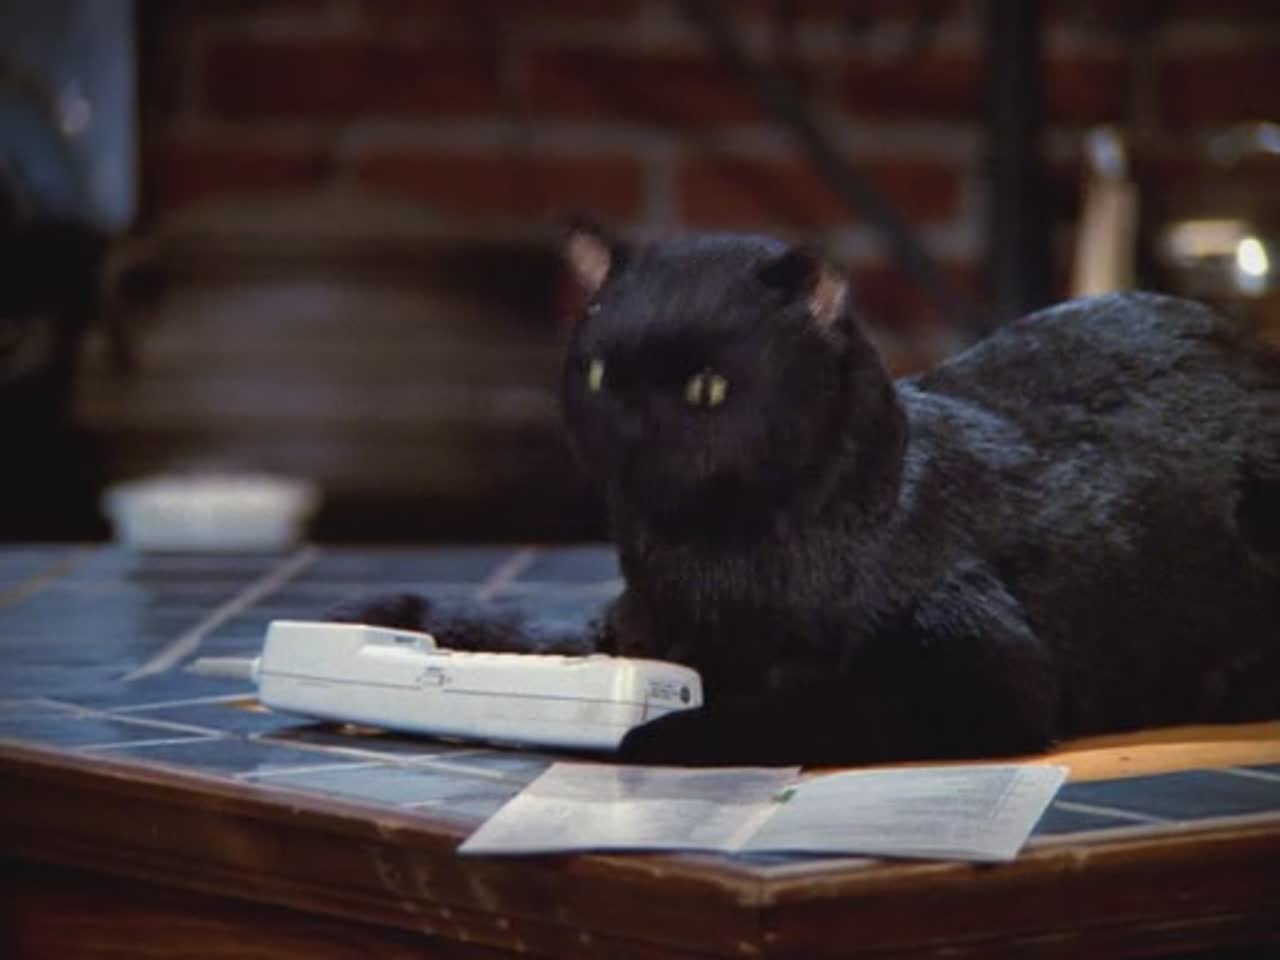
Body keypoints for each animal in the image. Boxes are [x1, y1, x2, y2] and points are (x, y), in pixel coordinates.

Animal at [329, 223, 1280, 766]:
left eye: (707, 389)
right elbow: (530, 631)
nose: (631, 437)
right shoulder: (629, 628)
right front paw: (394, 619)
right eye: (598, 375)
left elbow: (816, 704)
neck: (706, 557)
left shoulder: (977, 676)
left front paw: (659, 733)